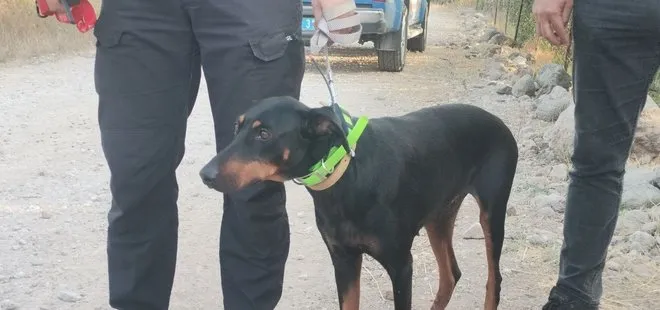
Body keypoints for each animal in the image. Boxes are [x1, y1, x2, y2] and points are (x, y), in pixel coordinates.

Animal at [199, 95, 520, 308]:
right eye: (237, 127)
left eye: (264, 134)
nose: (205, 175)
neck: (346, 175)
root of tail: (499, 122)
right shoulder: (344, 259)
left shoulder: (401, 265)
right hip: (439, 216)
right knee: (451, 275)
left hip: (491, 215)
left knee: (494, 280)